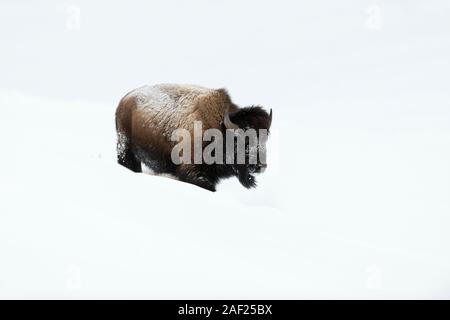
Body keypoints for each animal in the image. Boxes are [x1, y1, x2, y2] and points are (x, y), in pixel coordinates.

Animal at [114, 84, 272, 191]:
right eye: (243, 140)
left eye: (265, 139)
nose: (260, 166)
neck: (220, 129)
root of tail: (124, 99)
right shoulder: (192, 172)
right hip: (126, 149)